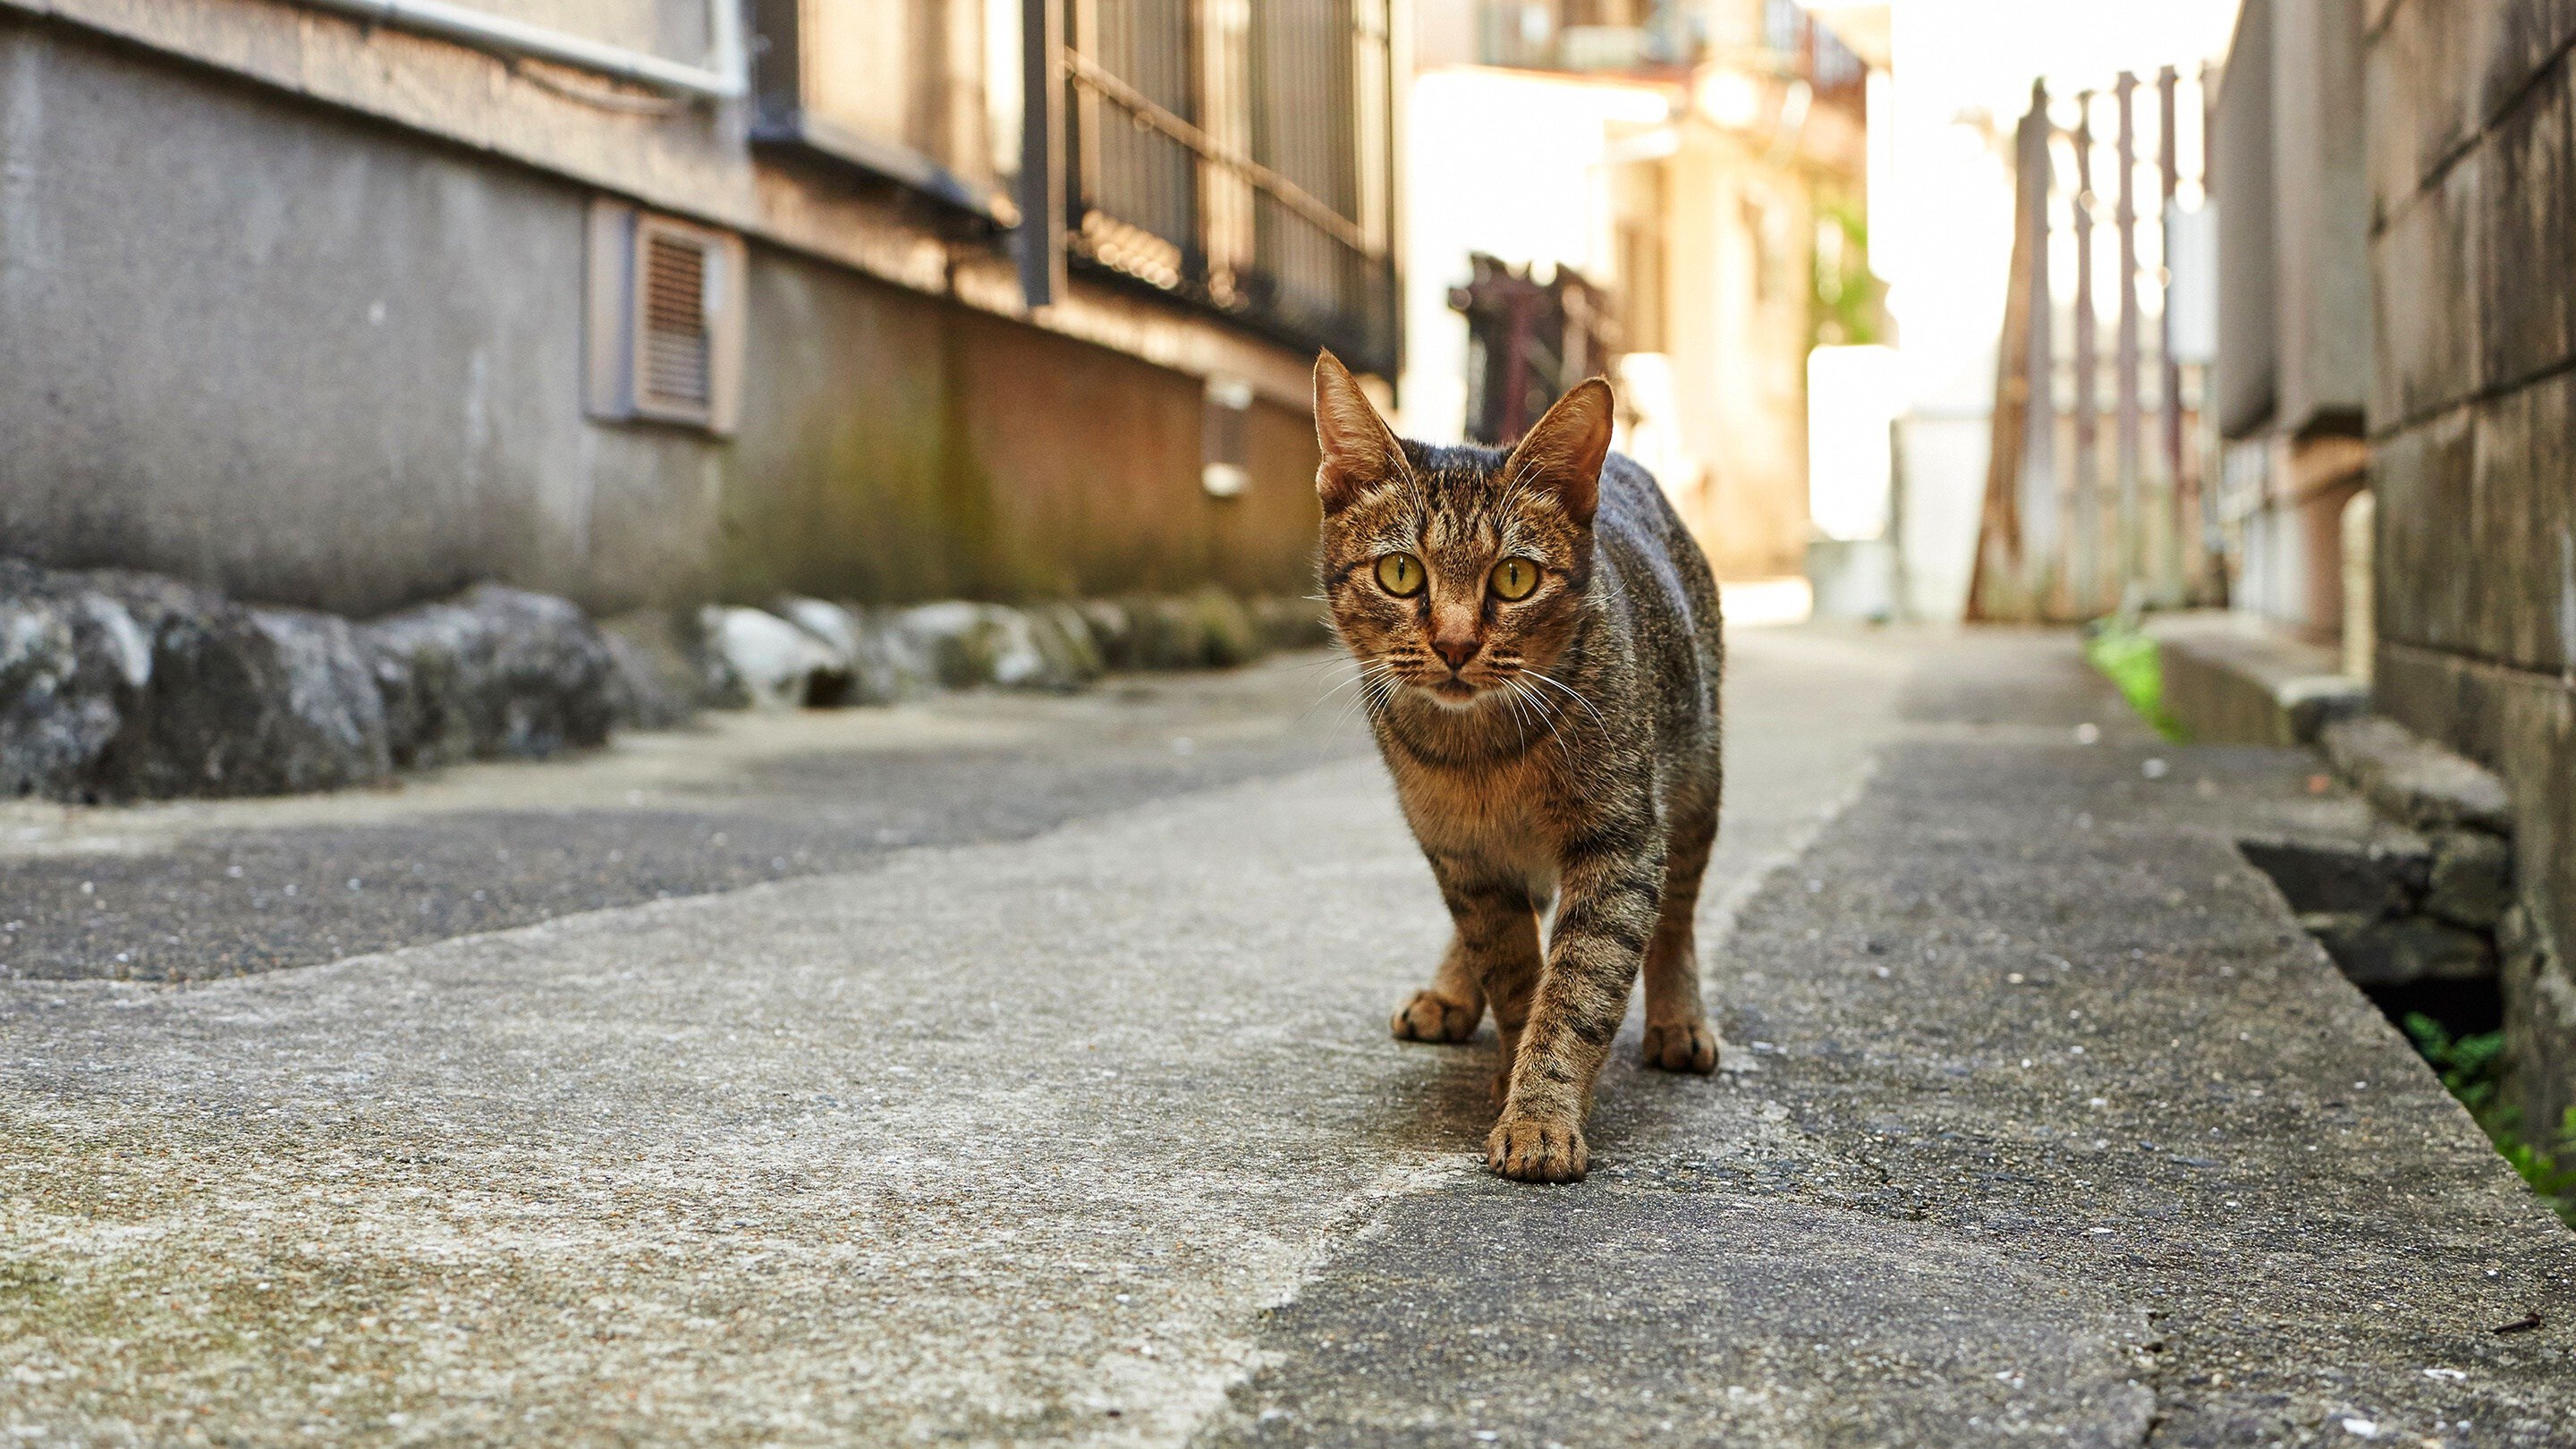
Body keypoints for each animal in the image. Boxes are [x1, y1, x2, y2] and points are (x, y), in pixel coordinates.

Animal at [1309, 352, 1731, 1185]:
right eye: (1401, 573)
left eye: (1513, 579)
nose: (1455, 644)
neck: (1483, 759)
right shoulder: (1464, 855)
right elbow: (1510, 968)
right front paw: (1512, 1063)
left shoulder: (1622, 845)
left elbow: (1577, 992)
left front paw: (1541, 1112)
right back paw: (1449, 993)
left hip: (1697, 782)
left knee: (1678, 917)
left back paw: (1678, 1017)